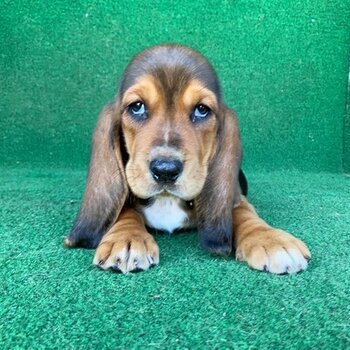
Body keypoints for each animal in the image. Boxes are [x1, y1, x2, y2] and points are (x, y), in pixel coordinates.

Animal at [64, 44, 310, 274]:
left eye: (201, 110)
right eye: (137, 107)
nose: (165, 170)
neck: (167, 201)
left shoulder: (236, 197)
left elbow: (242, 210)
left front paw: (269, 239)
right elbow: (123, 209)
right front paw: (126, 238)